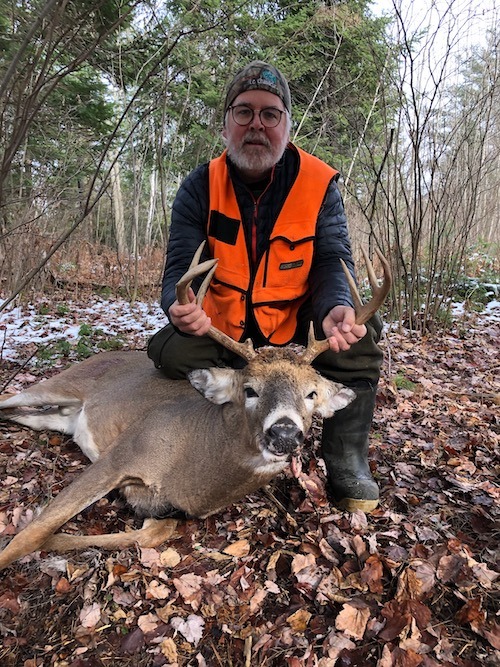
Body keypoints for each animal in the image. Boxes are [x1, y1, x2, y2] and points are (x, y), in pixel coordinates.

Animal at [0, 244, 391, 570]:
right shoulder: (121, 454)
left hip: (57, 416)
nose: (284, 432)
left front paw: (58, 540)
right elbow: (32, 533)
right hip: (61, 383)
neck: (192, 465)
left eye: (311, 394)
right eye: (249, 390)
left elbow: (150, 534)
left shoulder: (161, 506)